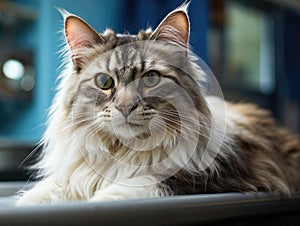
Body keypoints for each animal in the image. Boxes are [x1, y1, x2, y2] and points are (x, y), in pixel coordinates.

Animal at [16, 2, 300, 206]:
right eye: (105, 82)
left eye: (150, 78)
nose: (125, 107)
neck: (125, 151)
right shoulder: (79, 175)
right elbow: (52, 189)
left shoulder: (205, 178)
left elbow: (140, 184)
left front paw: (97, 201)